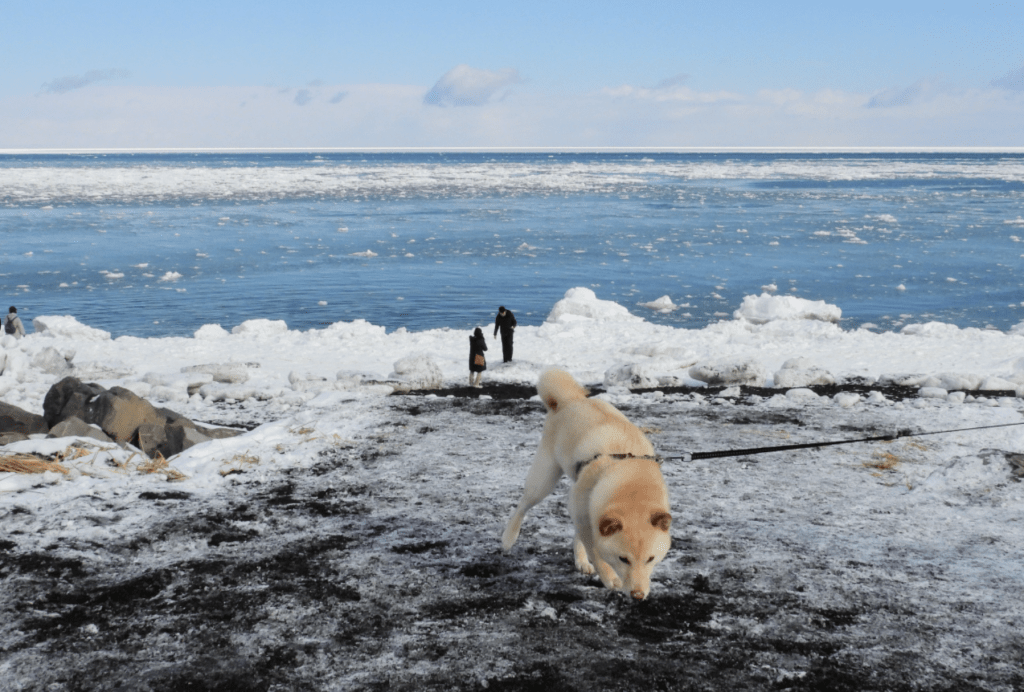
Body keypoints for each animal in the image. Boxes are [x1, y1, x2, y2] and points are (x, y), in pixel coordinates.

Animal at [501, 368, 671, 601]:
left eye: (651, 559)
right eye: (623, 559)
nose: (638, 595)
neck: (630, 479)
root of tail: (571, 400)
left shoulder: (587, 512)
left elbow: (582, 538)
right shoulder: (583, 514)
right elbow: (596, 552)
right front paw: (609, 577)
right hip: (544, 480)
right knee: (522, 505)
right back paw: (508, 538)